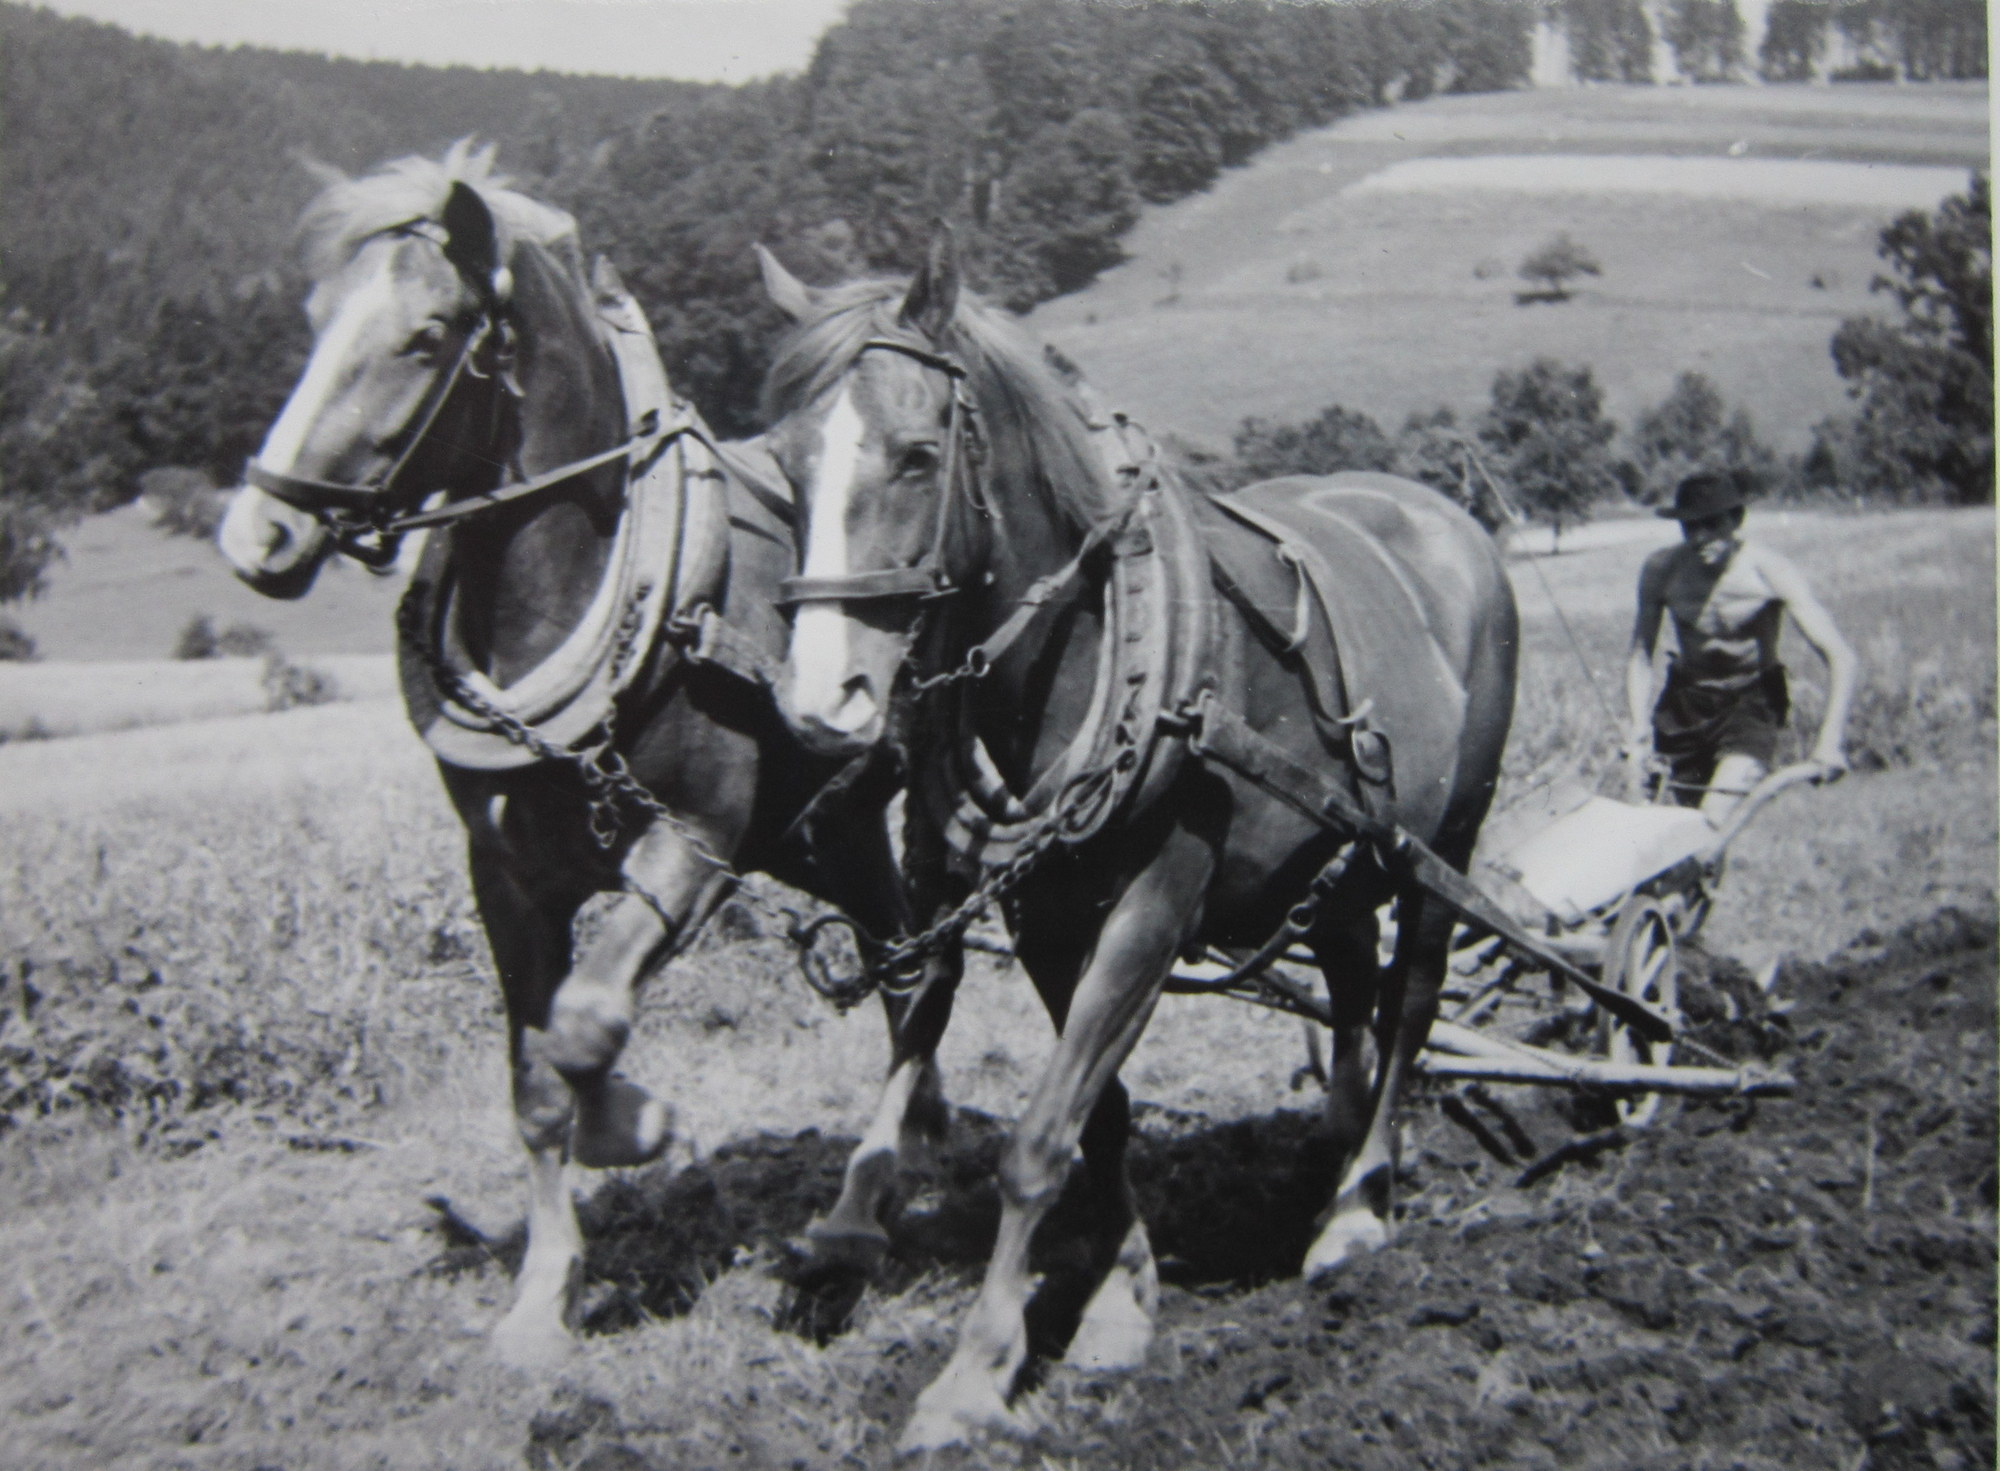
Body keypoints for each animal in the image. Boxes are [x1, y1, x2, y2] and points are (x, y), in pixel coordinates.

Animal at [216, 144, 964, 1367]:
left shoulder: (694, 846)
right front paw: (542, 1293)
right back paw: (919, 1138)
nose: (258, 535)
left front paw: (638, 1122)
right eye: (317, 320)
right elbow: (535, 1079)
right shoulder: (506, 879)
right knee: (902, 966)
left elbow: (587, 1020)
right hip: (826, 830)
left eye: (427, 335)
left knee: (925, 969)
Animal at [754, 229, 1519, 1448]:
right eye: (784, 463)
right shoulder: (1046, 912)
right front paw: (1120, 1302)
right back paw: (1335, 1139)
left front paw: (975, 1370)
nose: (824, 702)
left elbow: (1037, 1141)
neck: (1082, 646)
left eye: (918, 456)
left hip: (1448, 839)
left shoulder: (1154, 905)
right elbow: (1096, 1118)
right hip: (1343, 851)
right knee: (1352, 972)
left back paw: (1358, 1205)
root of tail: (1442, 519)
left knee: (1408, 1002)